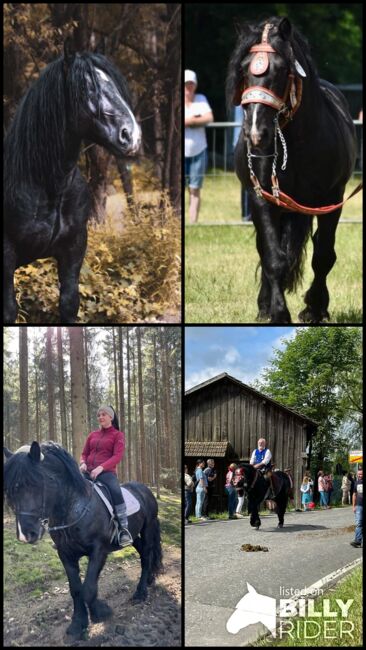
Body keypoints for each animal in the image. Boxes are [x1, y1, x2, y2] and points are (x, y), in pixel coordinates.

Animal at [3, 440, 162, 636]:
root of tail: (145, 490)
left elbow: (88, 588)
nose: (25, 535)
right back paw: (149, 580)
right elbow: (76, 590)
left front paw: (101, 612)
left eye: (35, 483)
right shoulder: (66, 555)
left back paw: (140, 592)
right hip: (134, 535)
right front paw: (78, 623)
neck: (74, 508)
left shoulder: (99, 551)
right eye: (10, 490)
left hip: (148, 529)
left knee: (146, 556)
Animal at [227, 19, 356, 322]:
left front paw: (314, 308)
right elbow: (274, 258)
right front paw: (277, 312)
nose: (256, 134)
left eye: (281, 70)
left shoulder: (332, 199)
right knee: (265, 250)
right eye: (243, 69)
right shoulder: (262, 198)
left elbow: (323, 255)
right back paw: (264, 305)